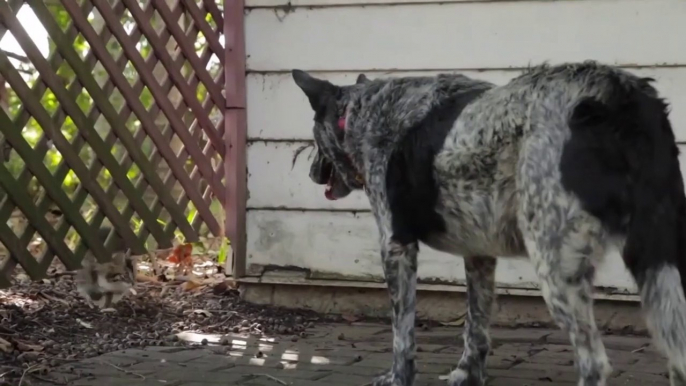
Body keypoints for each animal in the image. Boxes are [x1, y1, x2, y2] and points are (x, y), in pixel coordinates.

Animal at [292, 61, 686, 386]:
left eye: (313, 139)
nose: (310, 173)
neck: (366, 112)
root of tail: (616, 92)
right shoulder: (479, 255)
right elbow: (476, 325)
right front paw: (467, 375)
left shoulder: (395, 246)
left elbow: (402, 334)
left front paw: (398, 378)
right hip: (659, 257)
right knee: (677, 355)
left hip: (556, 267)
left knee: (595, 364)